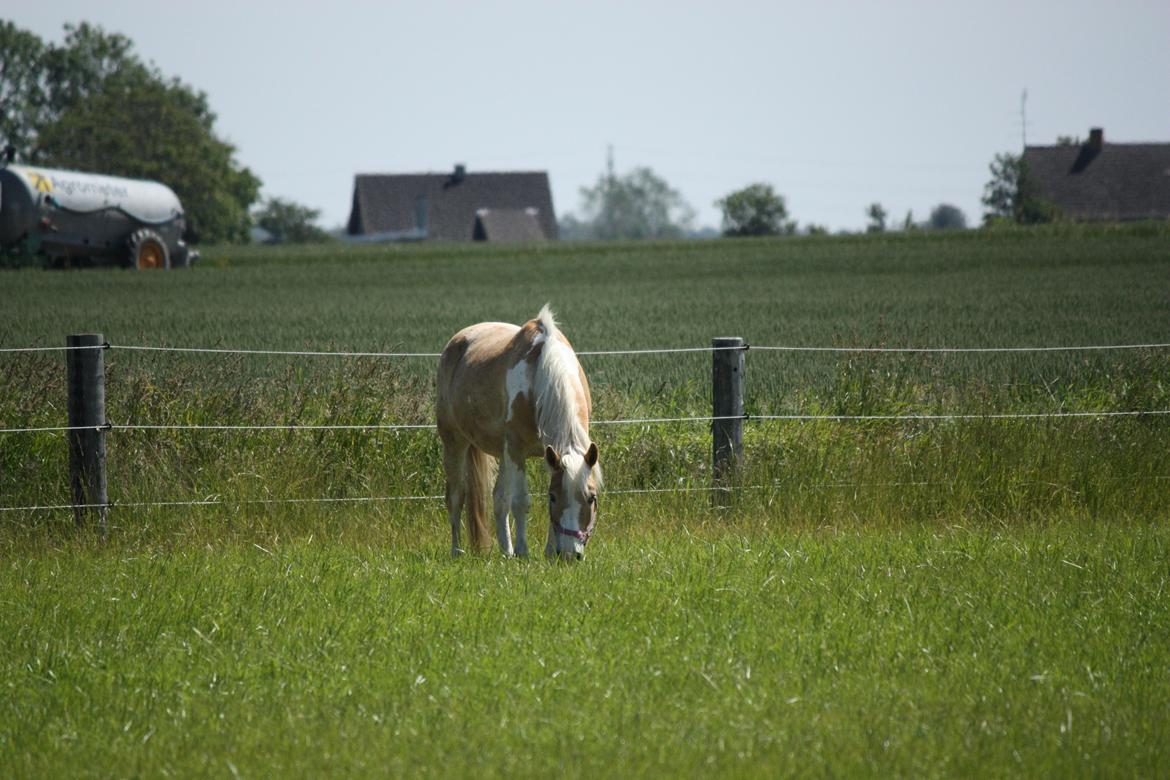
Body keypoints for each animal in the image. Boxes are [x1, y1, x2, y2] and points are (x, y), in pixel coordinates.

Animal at [439, 306, 603, 561]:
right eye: (554, 497)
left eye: (591, 498)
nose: (569, 554)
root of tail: (457, 340)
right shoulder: (517, 449)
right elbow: (521, 502)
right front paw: (523, 551)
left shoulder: (547, 454)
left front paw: (547, 552)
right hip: (455, 442)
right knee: (456, 496)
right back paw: (457, 551)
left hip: (503, 453)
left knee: (498, 498)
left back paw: (506, 551)